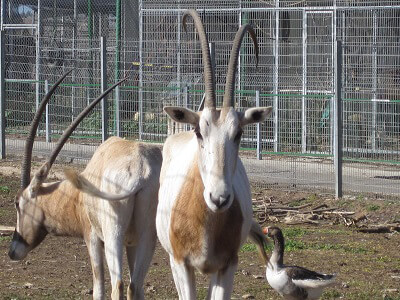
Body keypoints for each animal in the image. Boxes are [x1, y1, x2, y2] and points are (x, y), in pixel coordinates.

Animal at [7, 73, 162, 300]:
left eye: (17, 203)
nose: (12, 251)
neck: (77, 194)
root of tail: (140, 168)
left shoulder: (93, 238)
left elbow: (98, 288)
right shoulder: (131, 244)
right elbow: (137, 287)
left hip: (113, 233)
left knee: (118, 284)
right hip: (148, 236)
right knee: (135, 286)